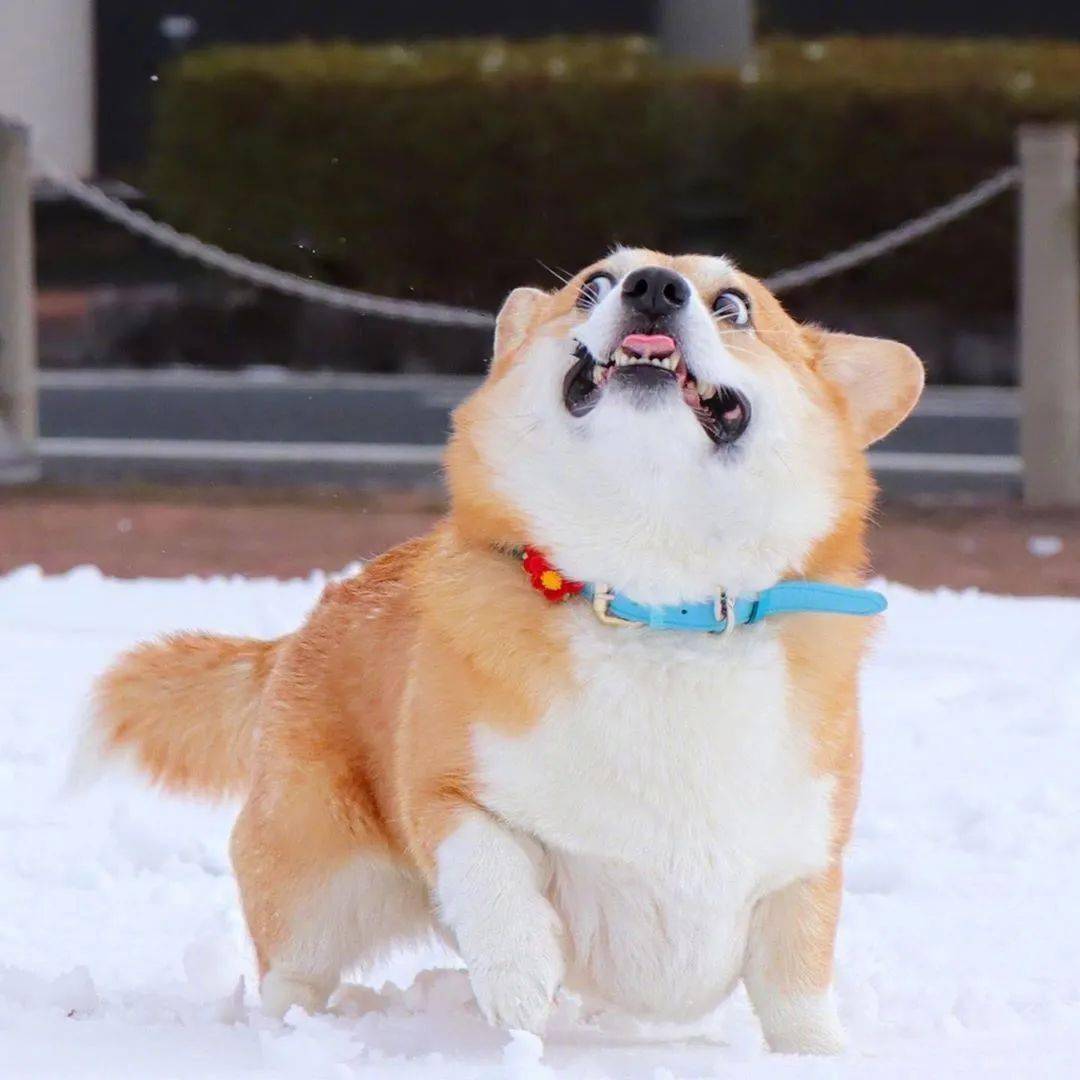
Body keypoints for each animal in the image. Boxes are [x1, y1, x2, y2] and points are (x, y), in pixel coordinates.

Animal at [84, 250, 924, 1054]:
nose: (654, 287)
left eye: (734, 305)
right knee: (292, 970)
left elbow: (796, 989)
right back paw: (291, 1035)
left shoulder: (803, 861)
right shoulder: (448, 792)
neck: (655, 594)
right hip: (316, 883)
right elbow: (488, 867)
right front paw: (520, 982)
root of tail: (299, 633)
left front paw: (819, 1056)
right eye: (594, 285)